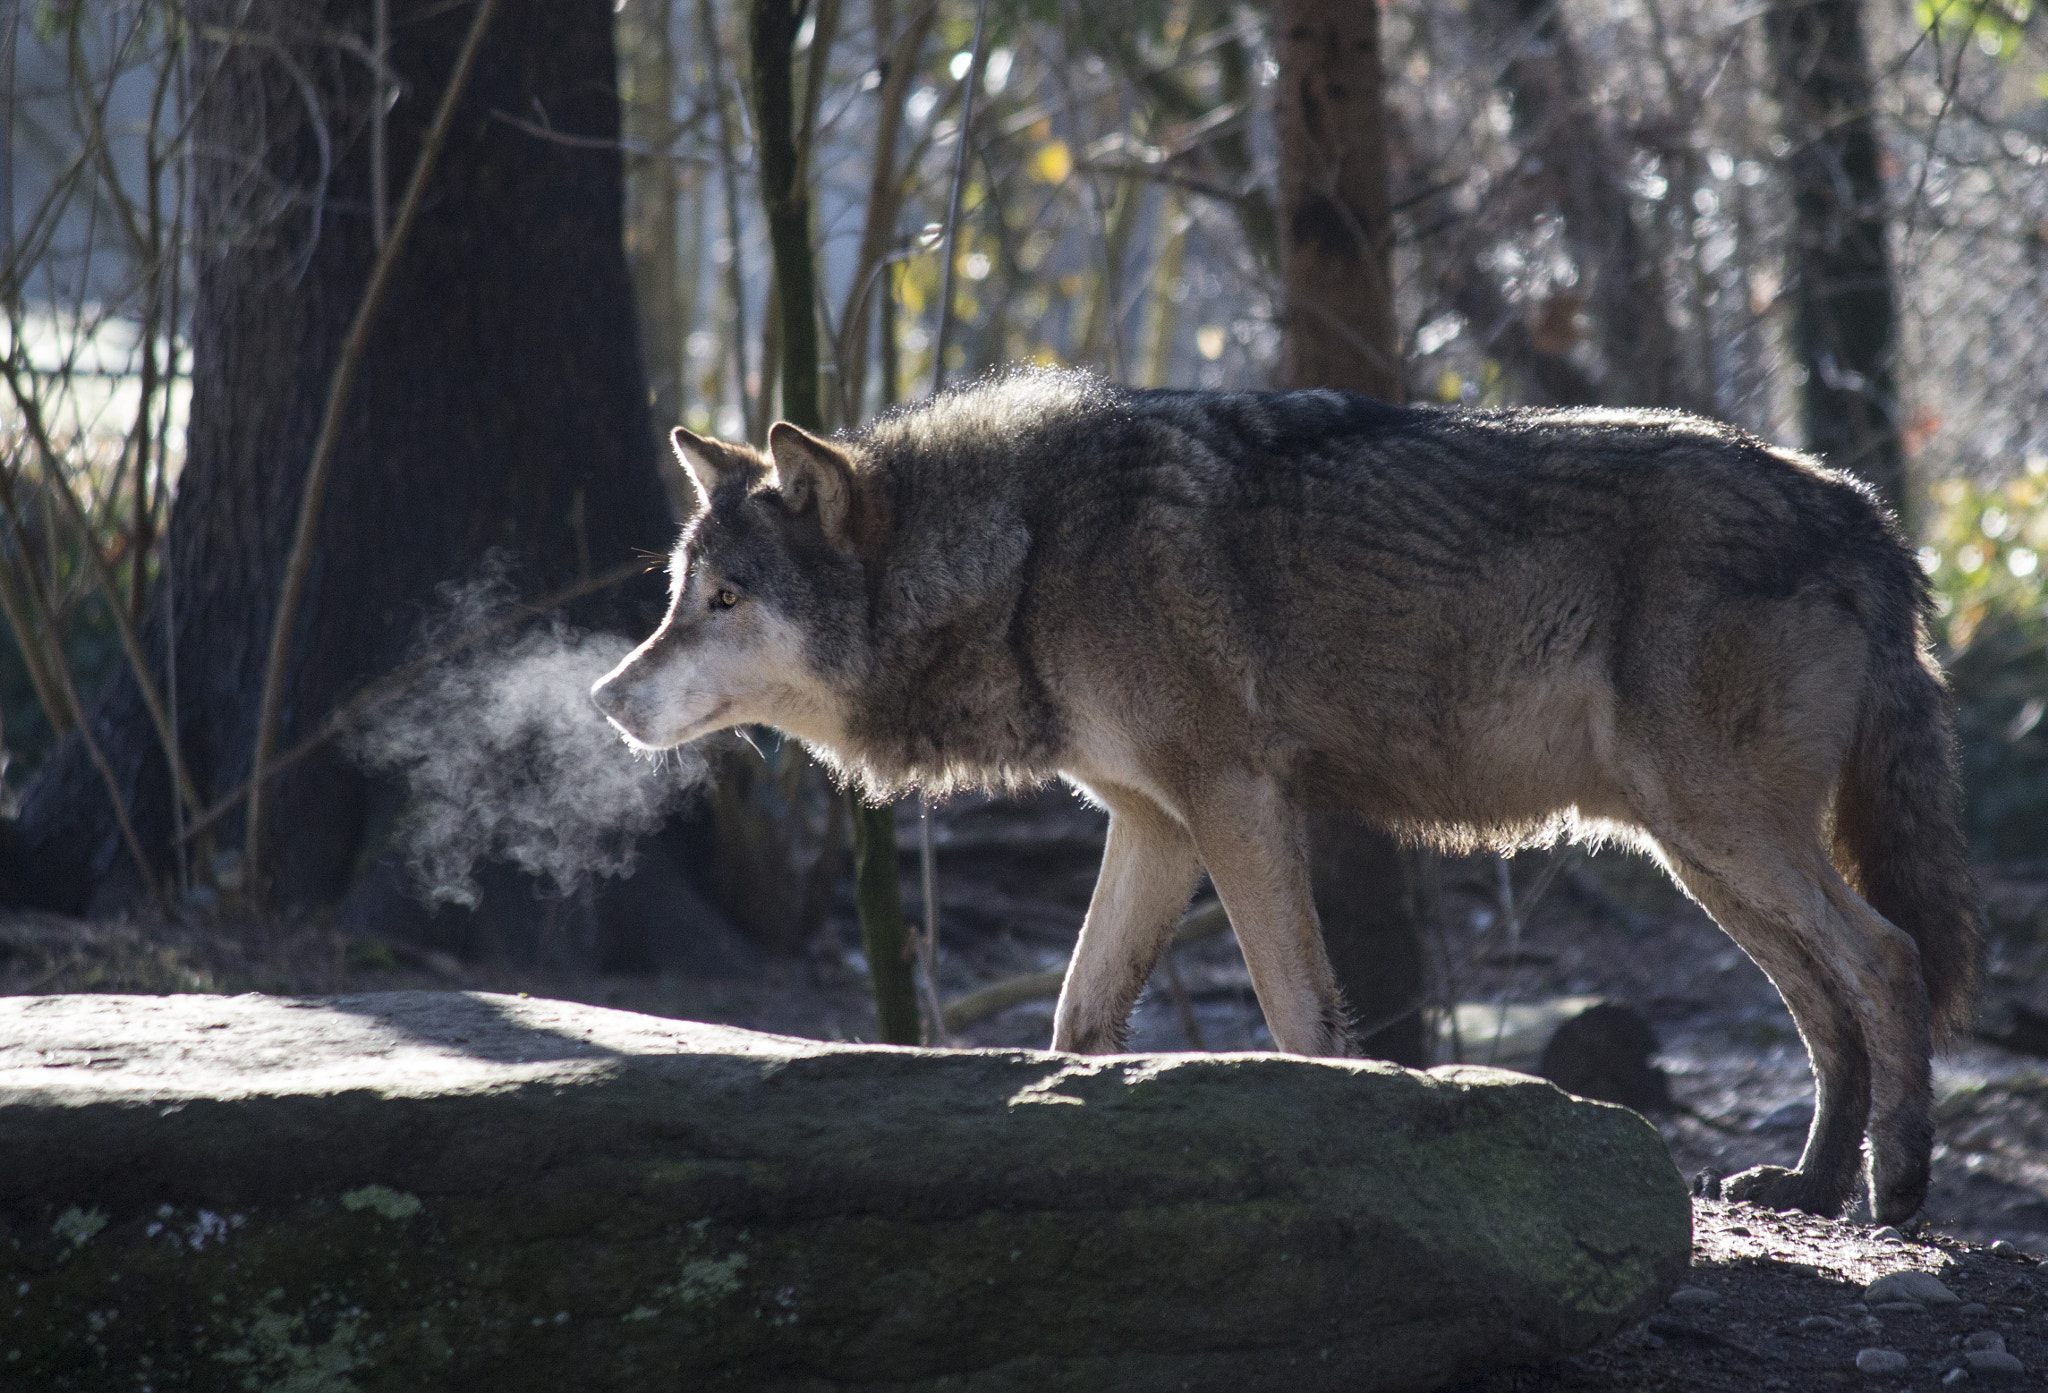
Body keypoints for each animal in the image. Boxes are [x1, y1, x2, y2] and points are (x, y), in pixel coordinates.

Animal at [591, 369, 1980, 1225]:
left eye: (726, 599)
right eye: (676, 593)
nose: (606, 695)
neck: (1025, 553)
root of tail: (1862, 508)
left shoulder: (1233, 798)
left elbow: (1298, 1014)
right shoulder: (1153, 824)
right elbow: (1077, 1016)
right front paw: (1054, 1136)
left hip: (1717, 834)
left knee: (1885, 958)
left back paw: (1897, 1187)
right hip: (1695, 856)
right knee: (1823, 1003)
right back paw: (1804, 1188)